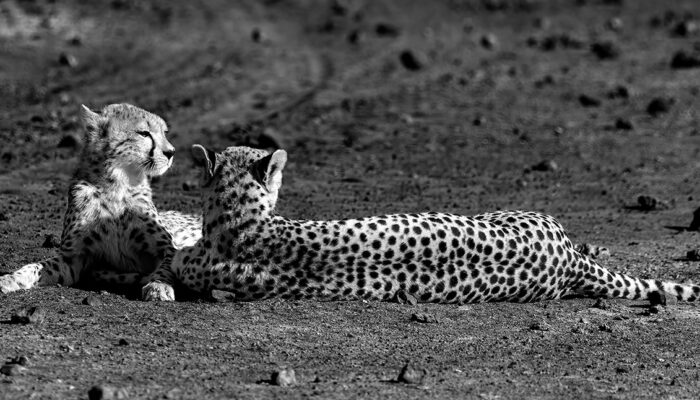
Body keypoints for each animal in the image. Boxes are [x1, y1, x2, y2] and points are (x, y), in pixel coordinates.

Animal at [0, 103, 202, 300]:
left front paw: (159, 286)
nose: (171, 152)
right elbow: (37, 266)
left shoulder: (168, 249)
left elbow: (165, 268)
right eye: (144, 133)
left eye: (164, 132)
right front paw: (11, 278)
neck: (117, 184)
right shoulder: (72, 257)